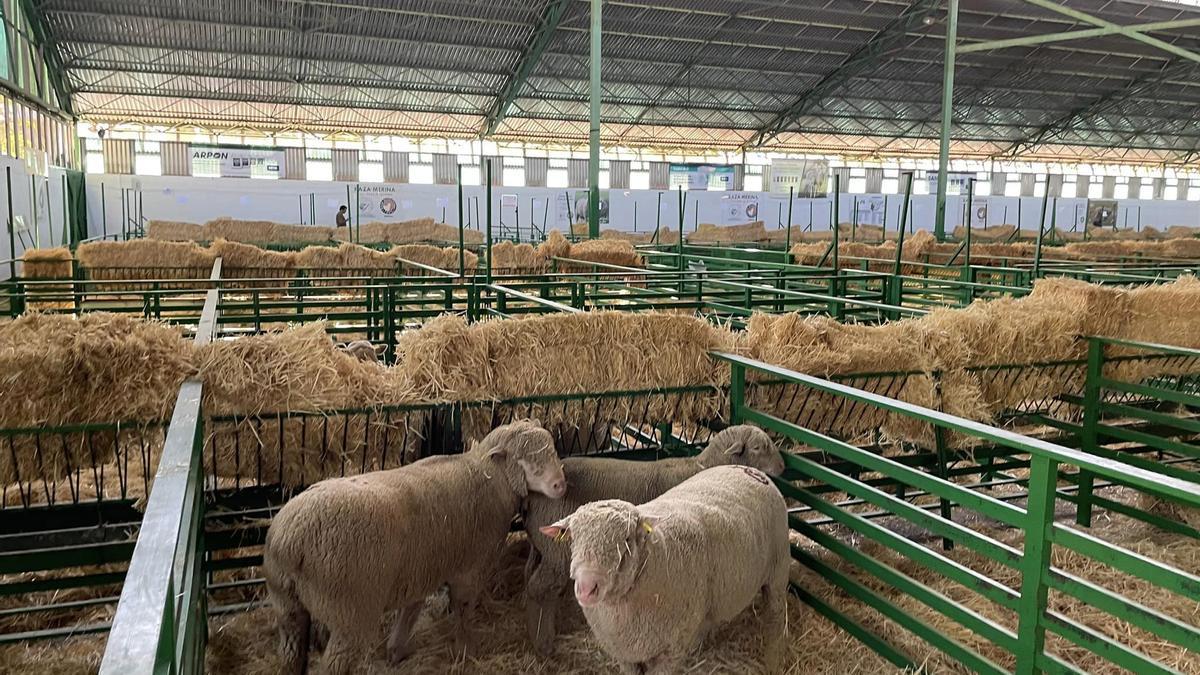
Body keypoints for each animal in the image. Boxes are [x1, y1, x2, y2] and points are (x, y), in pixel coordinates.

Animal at [265, 417, 564, 667]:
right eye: (526, 460)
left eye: (552, 450)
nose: (560, 485)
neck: (490, 476)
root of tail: (289, 540)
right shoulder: (470, 568)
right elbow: (463, 609)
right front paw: (466, 649)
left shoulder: (421, 567)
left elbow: (412, 608)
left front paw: (397, 649)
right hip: (349, 611)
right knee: (336, 662)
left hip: (287, 605)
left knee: (290, 653)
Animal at [520, 425, 782, 653]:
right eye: (758, 447)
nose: (782, 467)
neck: (701, 466)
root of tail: (532, 495)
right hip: (557, 554)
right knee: (538, 589)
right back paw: (542, 642)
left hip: (545, 550)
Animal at [542, 466, 787, 672]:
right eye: (573, 538)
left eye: (627, 539)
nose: (586, 588)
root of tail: (752, 470)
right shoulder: (622, 652)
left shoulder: (672, 649)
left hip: (778, 568)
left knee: (775, 616)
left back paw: (773, 660)